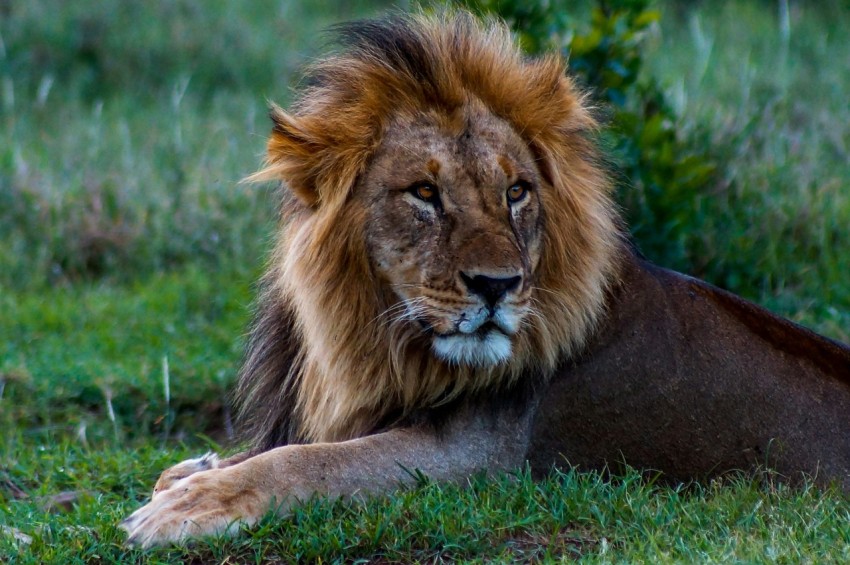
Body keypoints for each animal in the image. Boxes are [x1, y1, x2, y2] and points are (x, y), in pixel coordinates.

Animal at [121, 11, 850, 547]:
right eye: (424, 193)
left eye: (516, 192)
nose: (498, 285)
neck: (379, 340)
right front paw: (189, 473)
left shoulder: (480, 459)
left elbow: (309, 461)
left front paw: (186, 505)